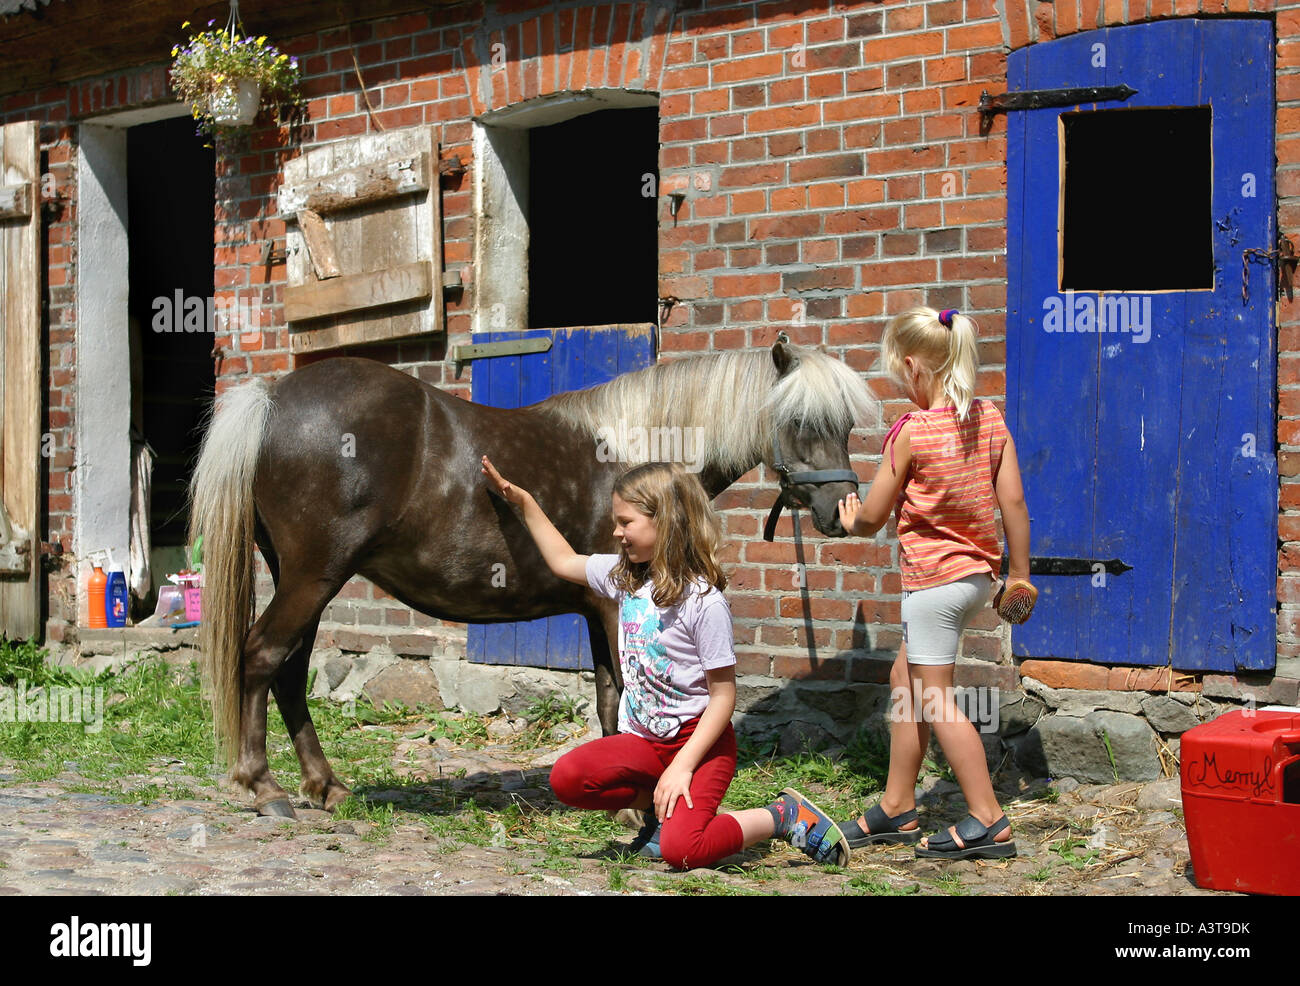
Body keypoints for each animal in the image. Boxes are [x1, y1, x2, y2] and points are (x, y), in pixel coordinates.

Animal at [188, 340, 878, 816]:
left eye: (843, 424)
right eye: (800, 422)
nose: (839, 510)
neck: (633, 458)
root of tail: (274, 398)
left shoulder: (599, 607)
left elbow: (609, 700)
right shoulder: (616, 608)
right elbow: (625, 698)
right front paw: (636, 806)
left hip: (306, 578)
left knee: (288, 671)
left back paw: (325, 786)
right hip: (314, 574)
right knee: (261, 656)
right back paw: (264, 787)